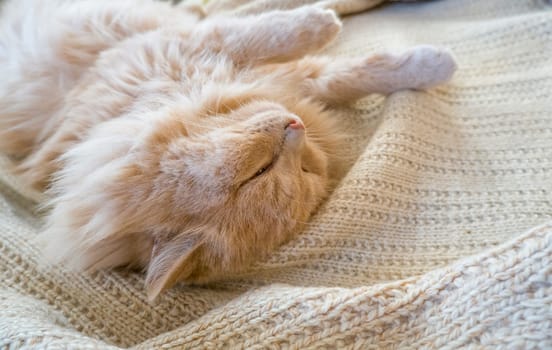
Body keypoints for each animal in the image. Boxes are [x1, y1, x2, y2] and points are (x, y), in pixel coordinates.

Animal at [1, 0, 458, 300]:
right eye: (262, 171)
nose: (296, 126)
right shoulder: (187, 48)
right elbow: (279, 41)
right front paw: (324, 26)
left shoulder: (179, 49)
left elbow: (349, 69)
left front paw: (433, 63)